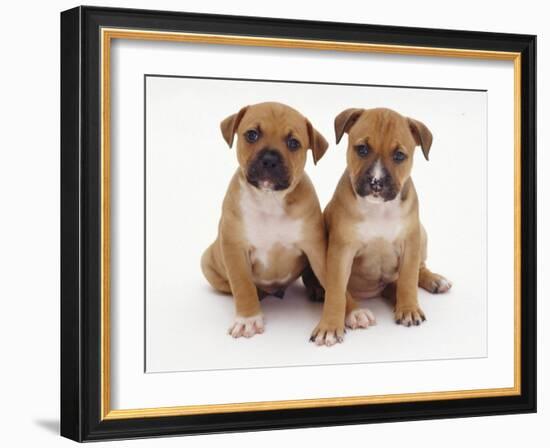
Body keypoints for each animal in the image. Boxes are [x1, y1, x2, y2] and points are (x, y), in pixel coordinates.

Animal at [204, 101, 330, 338]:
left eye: (293, 143)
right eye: (252, 135)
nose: (269, 159)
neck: (270, 199)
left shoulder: (316, 248)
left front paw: (352, 312)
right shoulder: (235, 249)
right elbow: (242, 285)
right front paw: (247, 319)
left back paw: (317, 288)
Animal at [312, 107, 454, 344]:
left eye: (399, 156)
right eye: (362, 149)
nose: (376, 182)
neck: (378, 209)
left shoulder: (411, 242)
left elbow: (408, 279)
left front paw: (409, 309)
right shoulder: (341, 251)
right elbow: (337, 292)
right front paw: (330, 326)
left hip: (421, 233)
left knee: (415, 271)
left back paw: (434, 280)